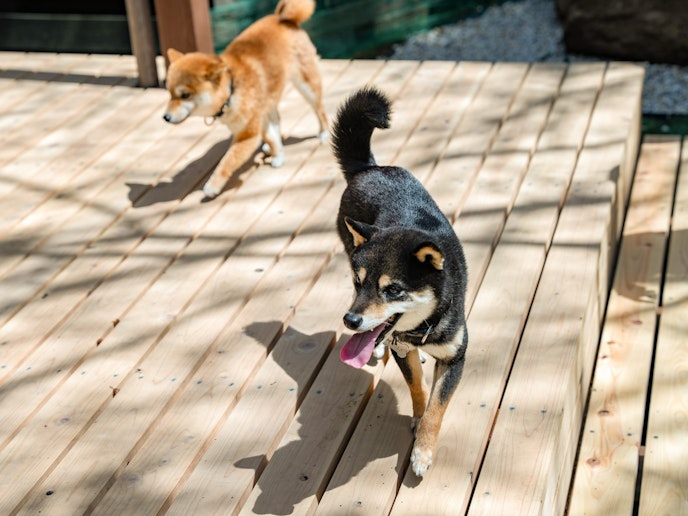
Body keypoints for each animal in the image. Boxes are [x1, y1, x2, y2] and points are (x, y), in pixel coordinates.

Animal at [332, 86, 468, 478]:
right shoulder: (401, 348)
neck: (421, 330)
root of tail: (370, 167)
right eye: (359, 283)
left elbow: (437, 407)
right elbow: (419, 391)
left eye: (393, 289)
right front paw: (418, 420)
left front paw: (422, 450)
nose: (351, 320)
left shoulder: (455, 358)